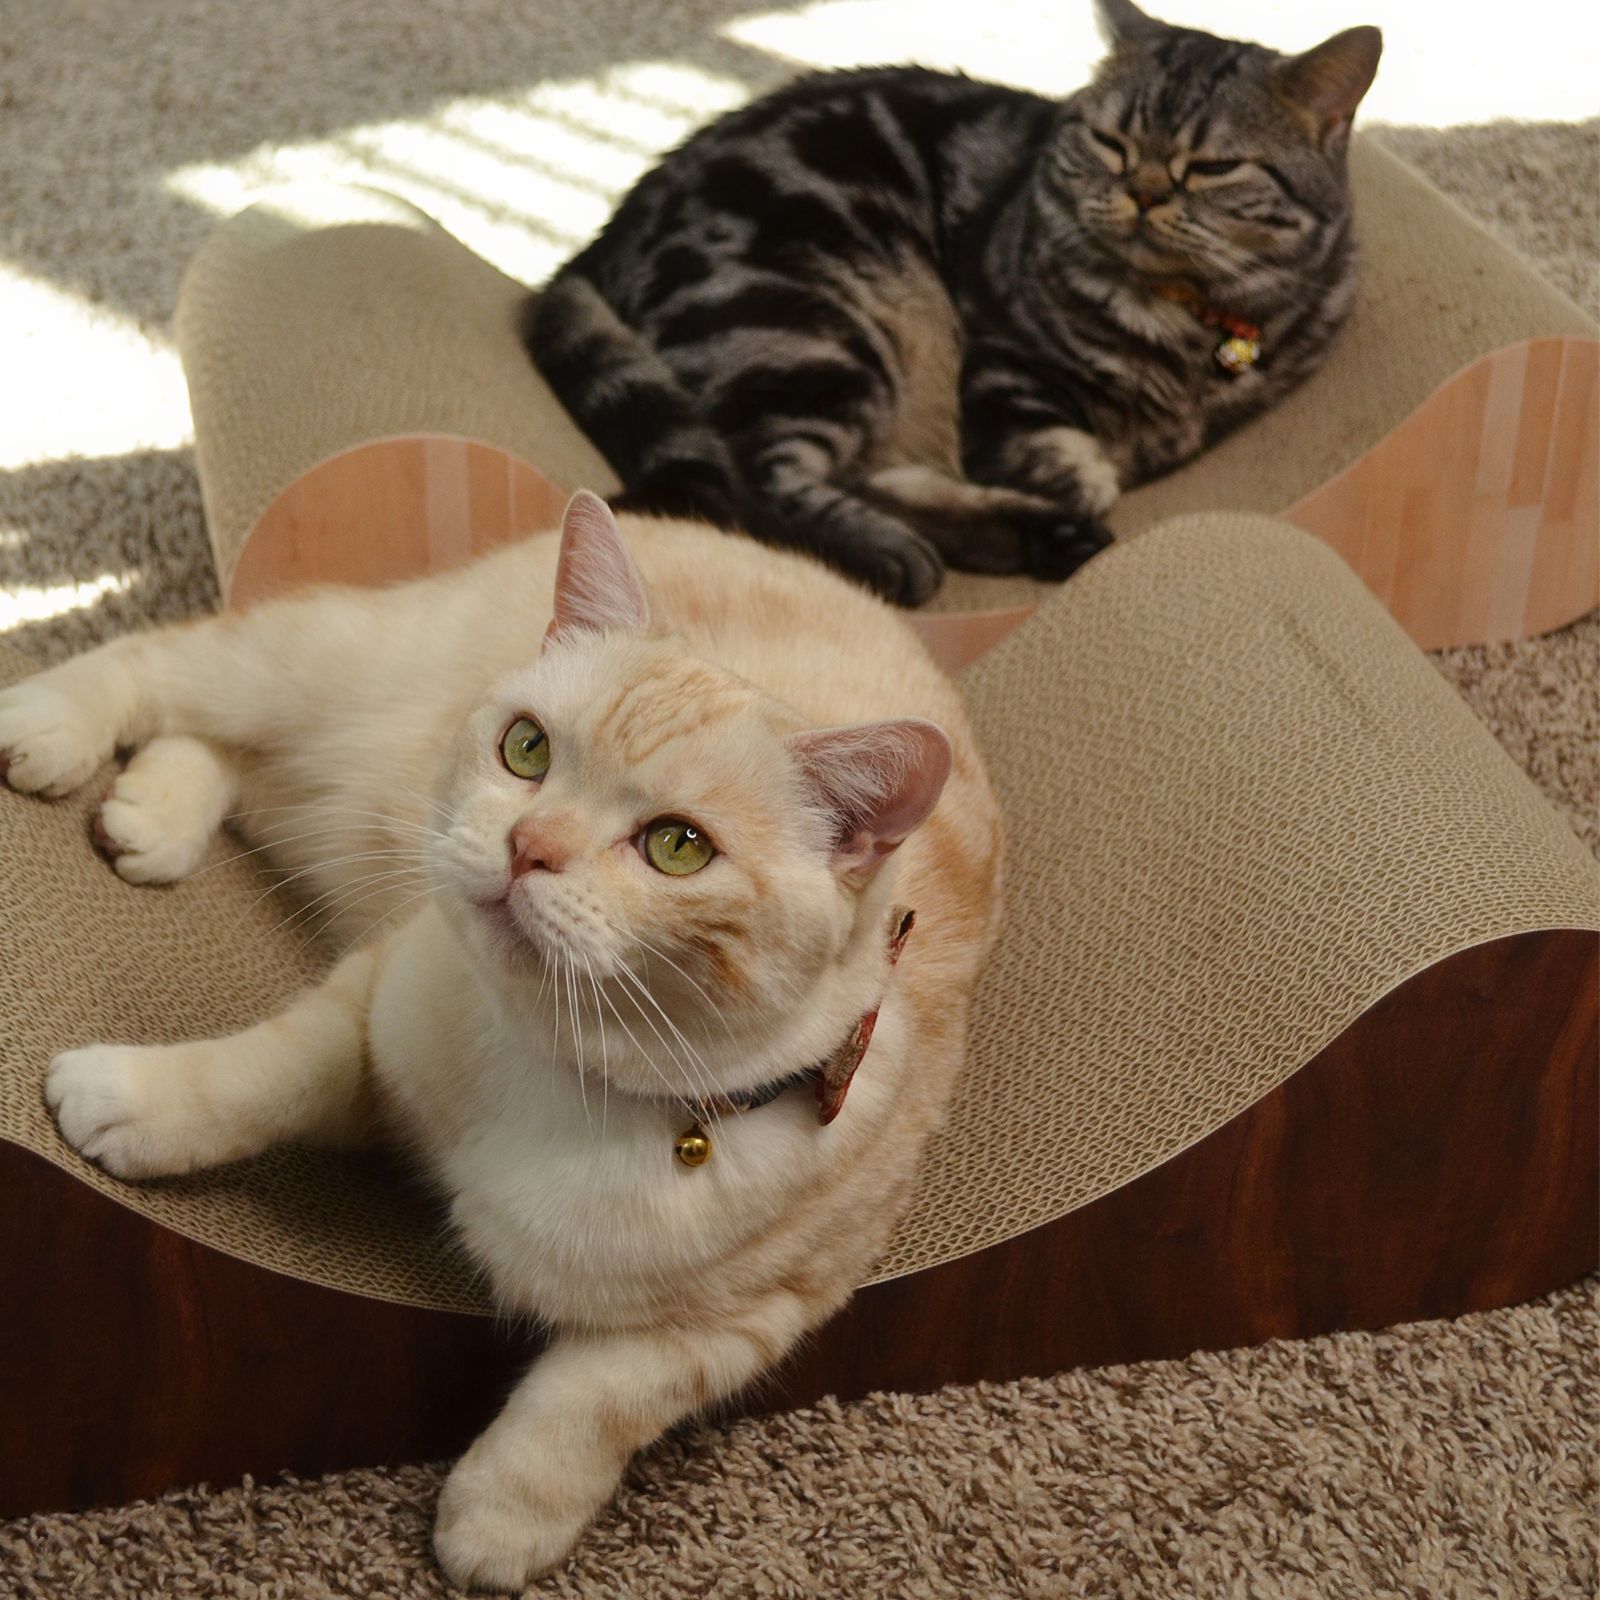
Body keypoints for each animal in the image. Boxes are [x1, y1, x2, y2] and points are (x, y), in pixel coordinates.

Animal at [0, 492, 998, 1593]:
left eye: (677, 846)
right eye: (528, 749)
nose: (530, 846)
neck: (566, 1073)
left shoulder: (759, 1312)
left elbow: (599, 1398)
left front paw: (503, 1521)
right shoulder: (370, 1007)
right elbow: (253, 1078)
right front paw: (129, 1099)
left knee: (234, 758)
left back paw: (154, 814)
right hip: (326, 672)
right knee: (175, 666)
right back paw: (55, 728)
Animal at [524, 1, 1376, 601]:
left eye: (1213, 166)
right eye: (1111, 144)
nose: (1141, 192)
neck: (1181, 317)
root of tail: (600, 239)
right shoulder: (1002, 353)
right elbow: (1053, 448)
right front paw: (1080, 476)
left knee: (857, 477)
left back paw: (1035, 538)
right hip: (814, 336)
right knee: (761, 486)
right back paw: (910, 550)